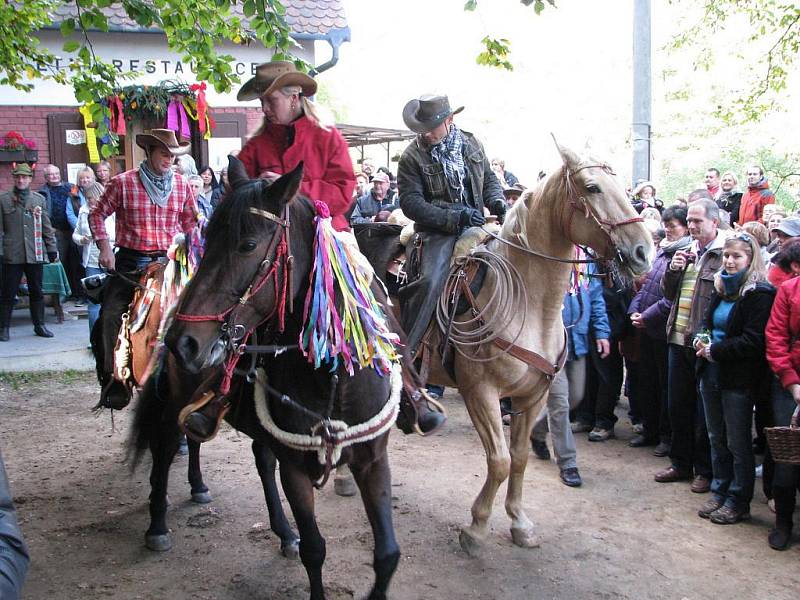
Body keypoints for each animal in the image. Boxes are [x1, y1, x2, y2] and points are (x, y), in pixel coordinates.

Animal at [144, 158, 400, 600]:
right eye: (207, 239)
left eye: (247, 245)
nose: (183, 342)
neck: (334, 382)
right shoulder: (295, 468)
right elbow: (315, 549)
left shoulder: (372, 461)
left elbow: (387, 555)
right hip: (177, 400)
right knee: (166, 449)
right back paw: (158, 524)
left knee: (242, 453)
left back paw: (264, 521)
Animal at [376, 141, 648, 552]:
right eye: (592, 187)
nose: (644, 251)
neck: (530, 306)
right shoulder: (481, 391)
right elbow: (500, 460)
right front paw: (476, 527)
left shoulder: (534, 394)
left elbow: (518, 458)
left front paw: (520, 522)